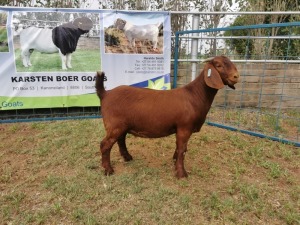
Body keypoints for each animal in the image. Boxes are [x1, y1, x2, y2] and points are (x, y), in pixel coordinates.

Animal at [95, 55, 240, 178]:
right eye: (218, 65)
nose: (236, 76)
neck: (194, 95)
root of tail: (105, 94)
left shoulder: (181, 129)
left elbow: (181, 148)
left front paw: (175, 161)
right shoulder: (184, 127)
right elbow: (182, 149)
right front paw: (181, 173)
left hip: (122, 125)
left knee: (120, 140)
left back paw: (127, 157)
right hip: (114, 125)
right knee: (105, 144)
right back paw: (108, 170)